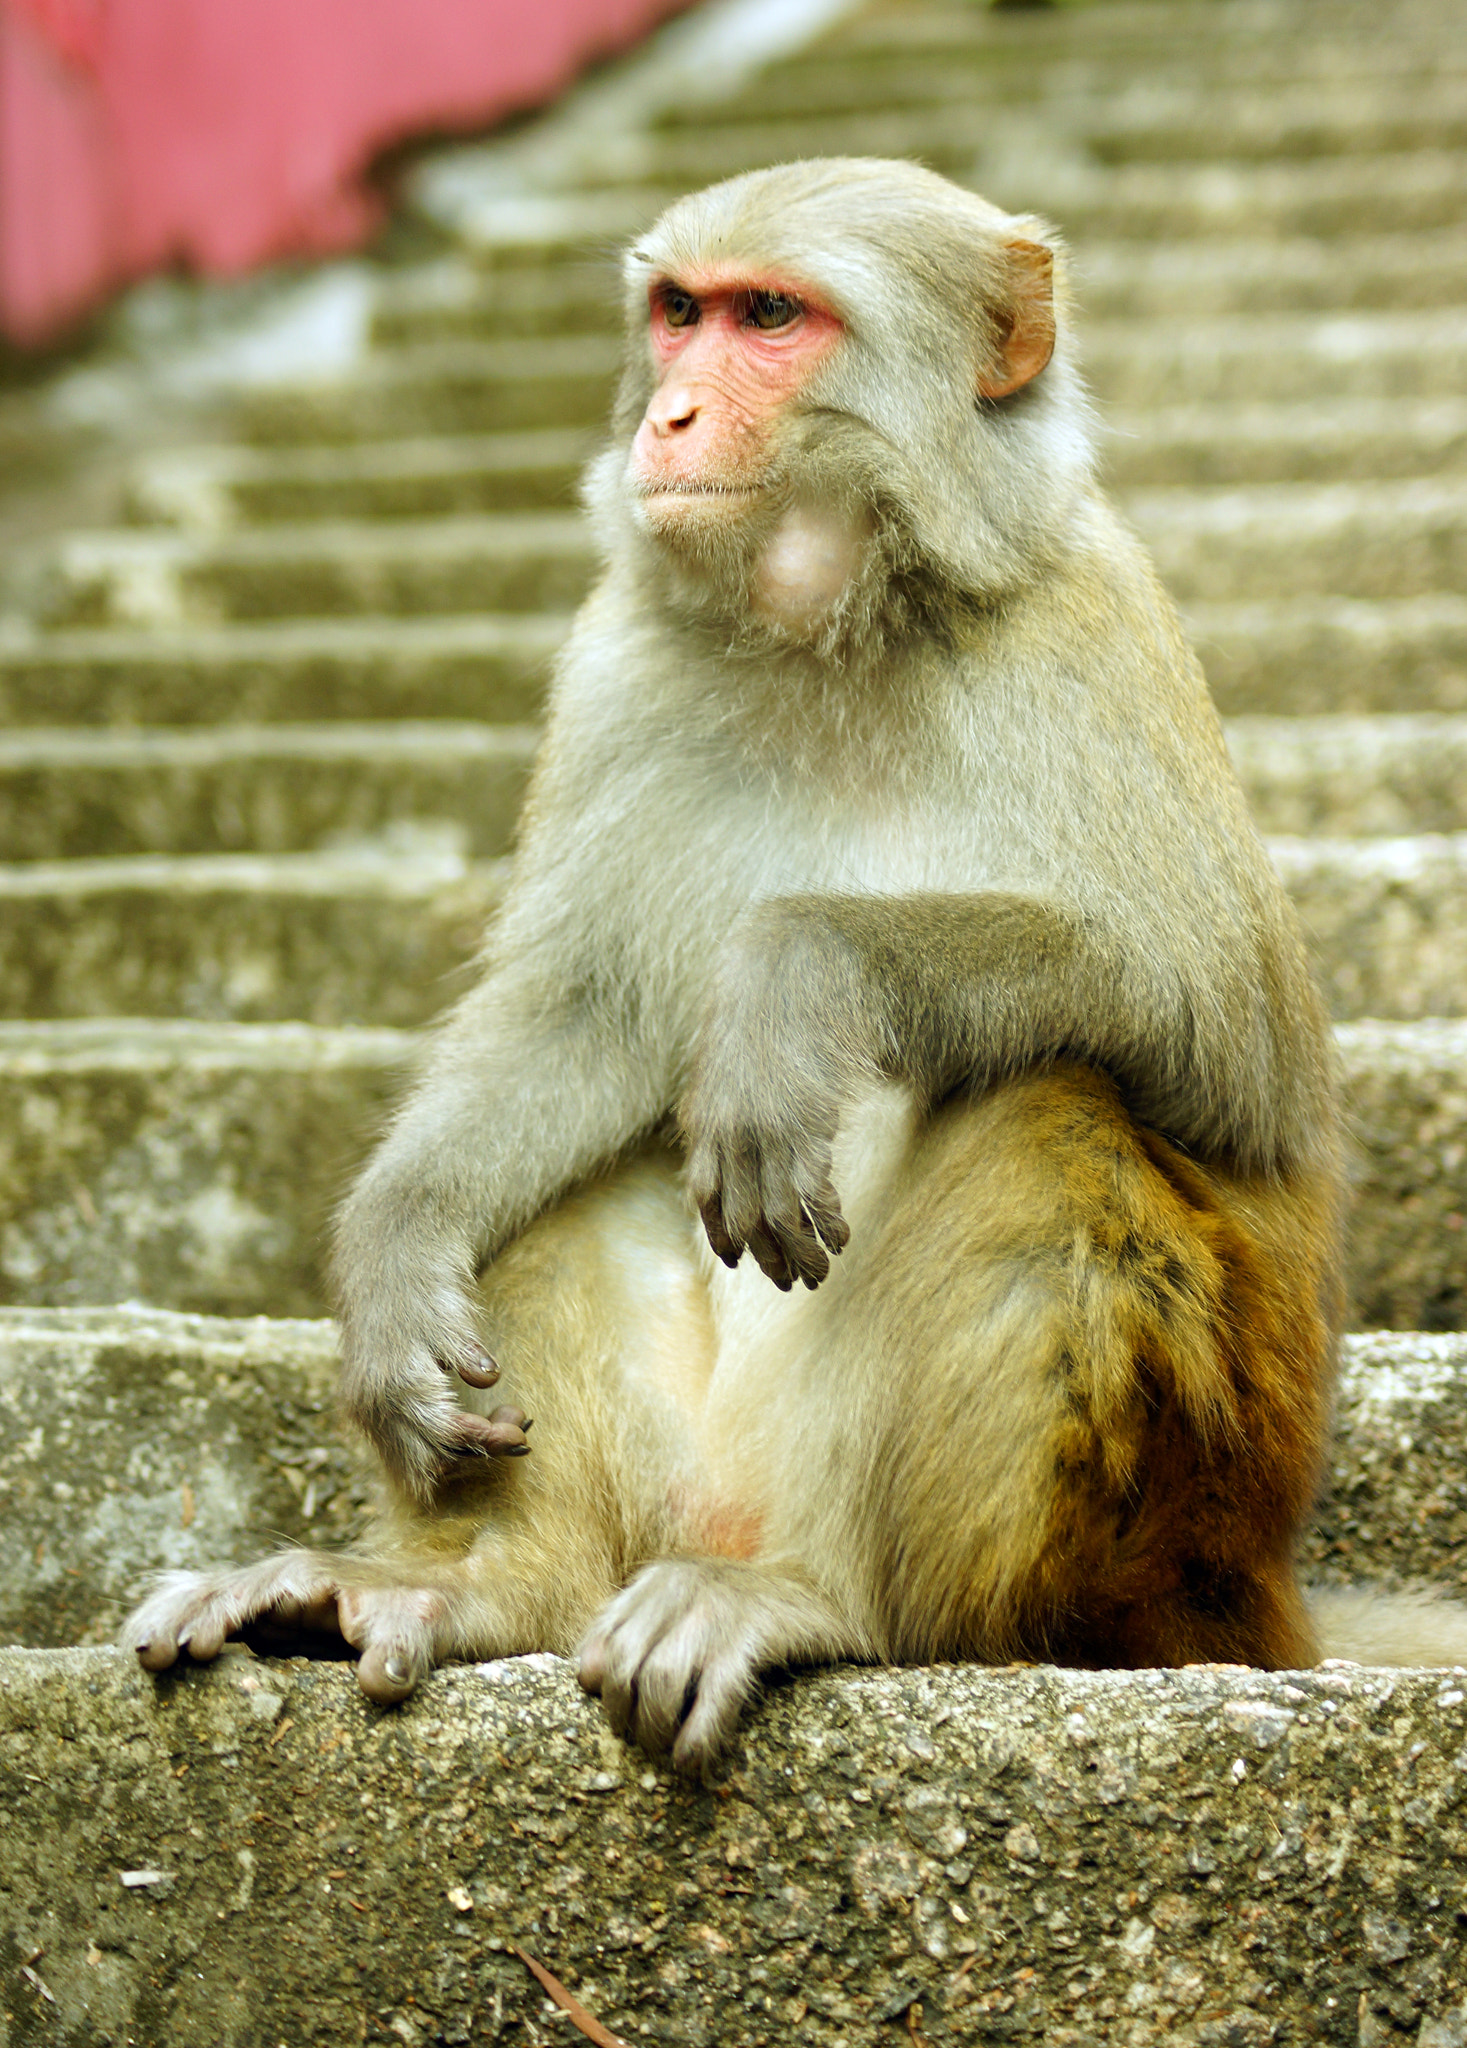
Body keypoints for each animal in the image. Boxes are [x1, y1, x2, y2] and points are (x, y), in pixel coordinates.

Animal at [123, 158, 1461, 1774]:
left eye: (770, 317)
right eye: (676, 313)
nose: (667, 416)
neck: (838, 629)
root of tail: (1270, 1604)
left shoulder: (1091, 637)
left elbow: (1227, 1047)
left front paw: (792, 975)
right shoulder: (620, 664)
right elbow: (579, 1014)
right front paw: (390, 1255)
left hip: (1183, 1530)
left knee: (1039, 1104)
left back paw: (846, 1602)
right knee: (583, 1174)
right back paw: (473, 1584)